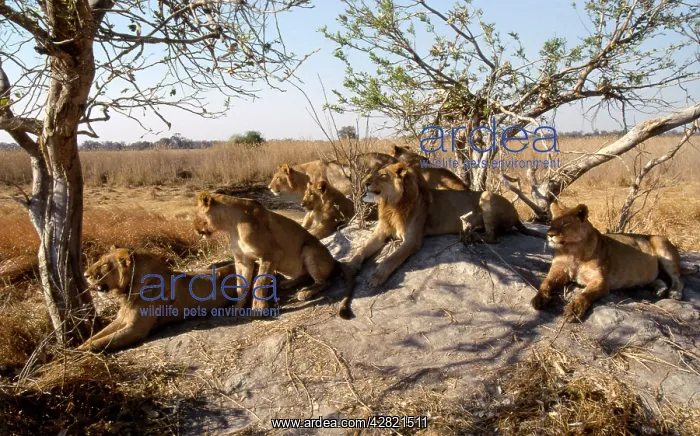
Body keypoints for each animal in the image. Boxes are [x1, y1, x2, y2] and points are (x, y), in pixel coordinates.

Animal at [78, 246, 239, 352]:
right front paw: (77, 348)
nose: (85, 275)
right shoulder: (122, 318)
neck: (129, 290)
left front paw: (77, 355)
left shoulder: (136, 329)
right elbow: (95, 337)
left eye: (104, 264)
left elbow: (101, 342)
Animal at [194, 192, 356, 319]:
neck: (231, 226)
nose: (195, 230)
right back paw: (288, 284)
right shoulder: (243, 260)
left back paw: (306, 292)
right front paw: (237, 308)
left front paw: (258, 310)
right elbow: (241, 286)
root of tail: (334, 260)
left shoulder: (272, 254)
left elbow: (259, 282)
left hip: (308, 248)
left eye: (195, 216)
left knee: (324, 282)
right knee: (304, 275)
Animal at [348, 162, 544, 287]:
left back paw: (470, 236)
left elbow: (390, 259)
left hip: (487, 195)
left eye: (382, 176)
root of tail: (516, 213)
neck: (391, 205)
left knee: (494, 237)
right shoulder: (381, 232)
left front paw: (376, 276)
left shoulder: (412, 240)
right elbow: (363, 249)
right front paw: (350, 266)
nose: (364, 184)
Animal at [531, 202, 698, 322]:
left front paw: (574, 310)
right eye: (552, 222)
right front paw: (538, 299)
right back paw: (659, 290)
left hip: (661, 245)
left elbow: (585, 295)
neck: (572, 251)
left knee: (679, 278)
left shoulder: (601, 281)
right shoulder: (558, 272)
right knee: (658, 279)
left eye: (566, 223)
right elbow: (545, 283)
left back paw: (674, 292)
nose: (550, 234)